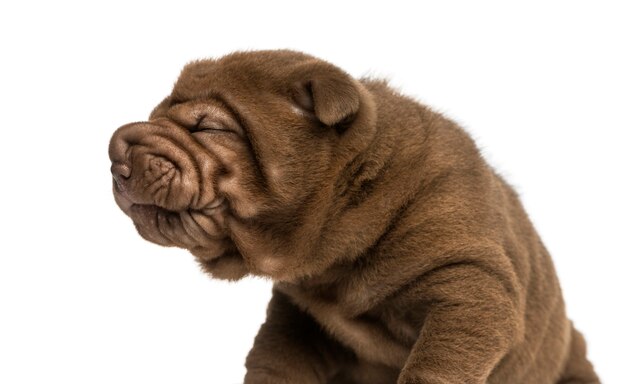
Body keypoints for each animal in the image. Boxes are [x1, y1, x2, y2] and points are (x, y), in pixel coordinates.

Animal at [108, 49, 600, 382]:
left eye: (208, 126)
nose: (116, 151)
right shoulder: (299, 316)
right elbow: (272, 359)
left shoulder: (470, 283)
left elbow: (437, 364)